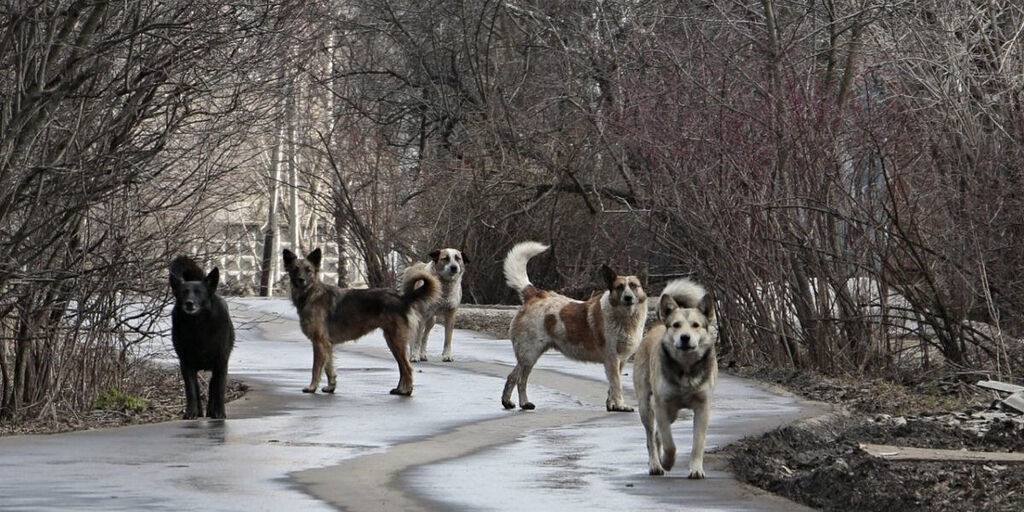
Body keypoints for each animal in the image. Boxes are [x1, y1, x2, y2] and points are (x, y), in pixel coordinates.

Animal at [171, 256, 236, 419]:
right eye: (184, 292)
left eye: (199, 292)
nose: (189, 303)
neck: (198, 326)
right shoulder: (186, 364)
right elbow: (191, 390)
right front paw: (191, 412)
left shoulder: (221, 362)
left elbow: (219, 389)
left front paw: (219, 413)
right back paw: (199, 412)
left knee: (213, 386)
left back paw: (212, 411)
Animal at [282, 247, 438, 395]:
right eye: (295, 269)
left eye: (308, 270)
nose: (301, 280)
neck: (311, 294)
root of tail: (402, 298)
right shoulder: (327, 344)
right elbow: (329, 368)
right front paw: (331, 386)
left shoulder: (319, 342)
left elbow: (316, 369)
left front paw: (312, 387)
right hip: (392, 341)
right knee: (402, 368)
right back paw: (400, 389)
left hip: (396, 341)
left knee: (407, 368)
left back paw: (406, 391)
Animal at [497, 241, 647, 413]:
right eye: (619, 287)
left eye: (634, 286)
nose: (628, 298)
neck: (624, 318)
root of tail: (535, 295)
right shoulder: (612, 358)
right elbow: (617, 385)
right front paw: (621, 405)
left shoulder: (620, 361)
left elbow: (612, 386)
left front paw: (612, 405)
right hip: (529, 355)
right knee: (520, 379)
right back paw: (522, 403)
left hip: (528, 356)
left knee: (514, 377)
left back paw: (511, 402)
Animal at [630, 278, 720, 477]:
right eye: (676, 325)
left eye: (696, 325)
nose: (685, 338)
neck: (685, 369)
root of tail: (657, 325)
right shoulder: (661, 405)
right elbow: (669, 443)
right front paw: (667, 462)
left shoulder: (703, 407)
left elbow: (698, 442)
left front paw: (696, 469)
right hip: (646, 405)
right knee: (651, 436)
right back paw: (656, 464)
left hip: (672, 413)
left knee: (656, 435)